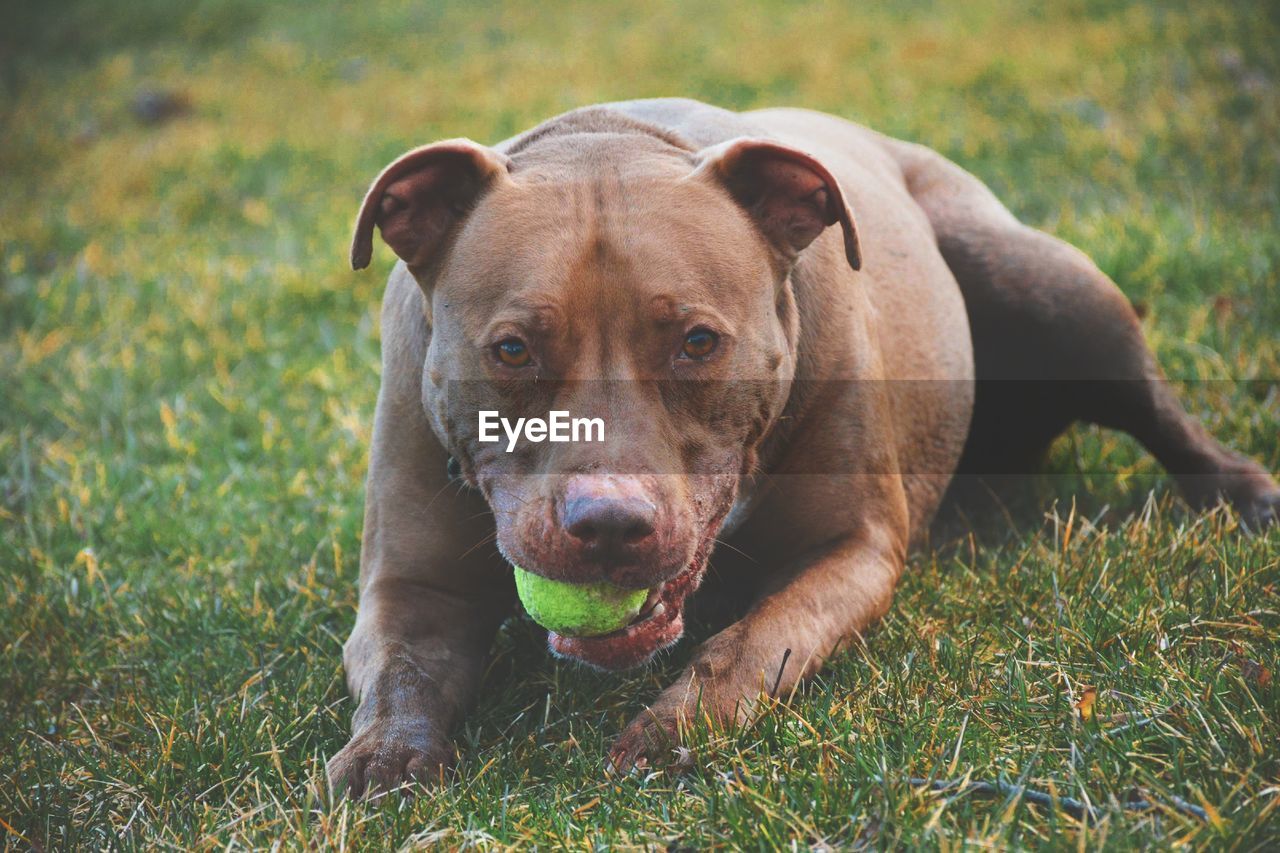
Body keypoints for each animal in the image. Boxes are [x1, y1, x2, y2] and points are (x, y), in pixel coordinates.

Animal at [325, 99, 1274, 799]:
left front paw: (674, 727)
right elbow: (400, 666)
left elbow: (753, 641)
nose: (610, 525)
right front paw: (385, 754)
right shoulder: (413, 584)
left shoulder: (853, 548)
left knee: (1160, 412)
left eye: (699, 342)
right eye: (513, 349)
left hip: (1051, 288)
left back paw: (1242, 490)